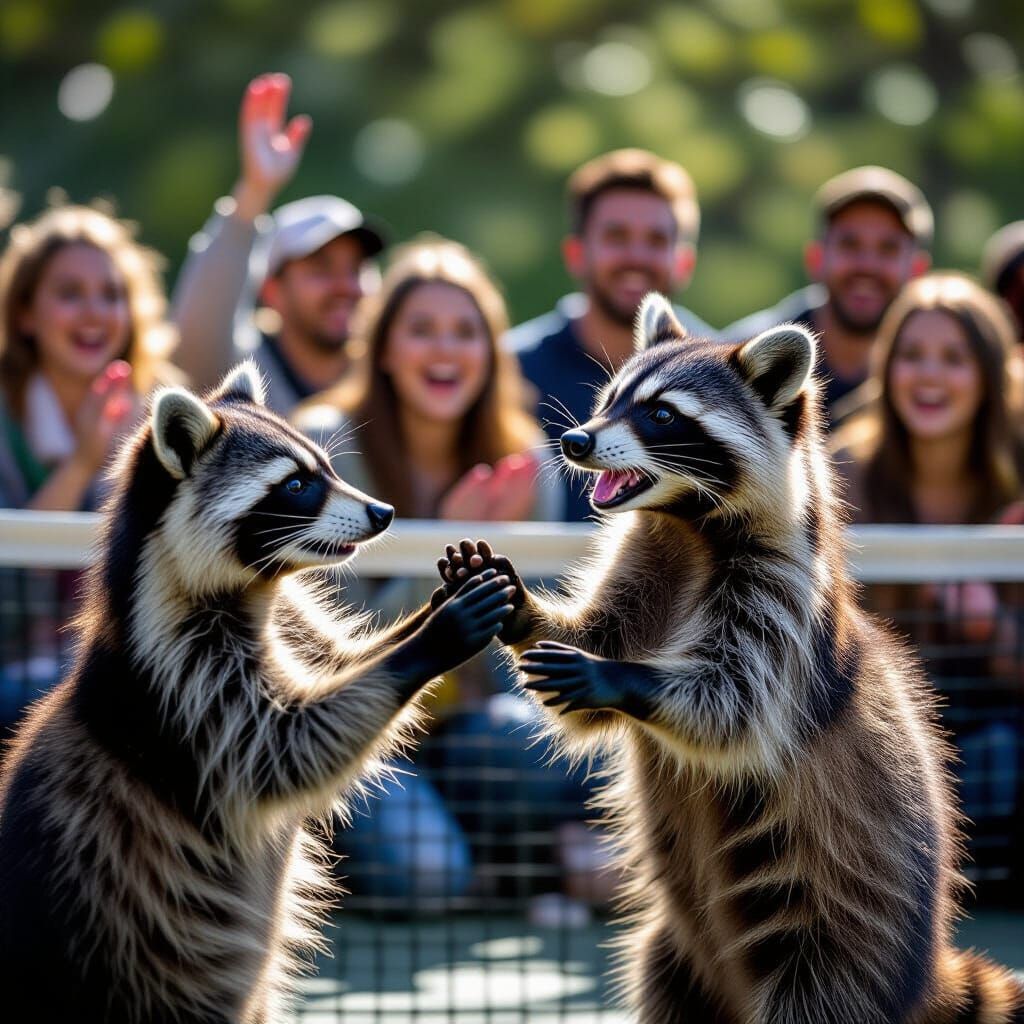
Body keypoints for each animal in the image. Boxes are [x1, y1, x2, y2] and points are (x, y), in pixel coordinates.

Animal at [0, 363, 515, 1023]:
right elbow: (281, 747)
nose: (383, 512)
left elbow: (332, 666)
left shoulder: (285, 622)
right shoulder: (181, 674)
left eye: (327, 469)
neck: (255, 590)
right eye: (295, 485)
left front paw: (426, 612)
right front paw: (430, 639)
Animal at [439, 294, 1024, 1023]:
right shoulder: (648, 560)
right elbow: (599, 640)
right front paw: (523, 609)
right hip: (676, 952)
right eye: (610, 399)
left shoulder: (781, 599)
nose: (576, 442)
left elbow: (735, 706)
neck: (685, 524)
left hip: (835, 942)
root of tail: (924, 982)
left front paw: (624, 679)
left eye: (662, 414)